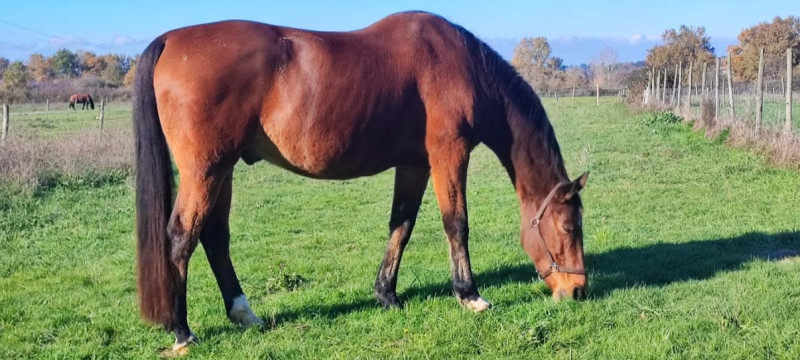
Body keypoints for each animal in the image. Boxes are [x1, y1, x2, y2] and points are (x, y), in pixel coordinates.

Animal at [134, 11, 592, 354]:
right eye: (569, 227)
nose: (578, 291)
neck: (462, 64)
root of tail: (171, 40)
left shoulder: (415, 165)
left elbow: (401, 226)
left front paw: (386, 294)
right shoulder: (449, 155)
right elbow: (456, 224)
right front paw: (470, 295)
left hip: (222, 170)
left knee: (214, 237)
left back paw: (245, 314)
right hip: (205, 171)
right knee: (181, 238)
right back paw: (182, 331)